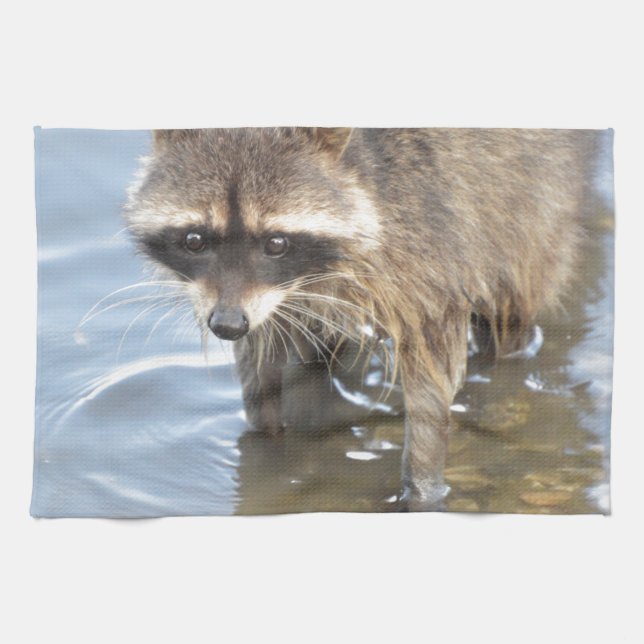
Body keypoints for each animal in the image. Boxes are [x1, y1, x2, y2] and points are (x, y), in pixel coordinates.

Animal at [124, 127, 600, 510]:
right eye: (194, 240)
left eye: (276, 243)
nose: (226, 325)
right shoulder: (259, 302)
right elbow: (263, 362)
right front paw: (269, 446)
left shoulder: (430, 237)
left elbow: (432, 381)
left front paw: (422, 486)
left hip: (533, 197)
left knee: (513, 303)